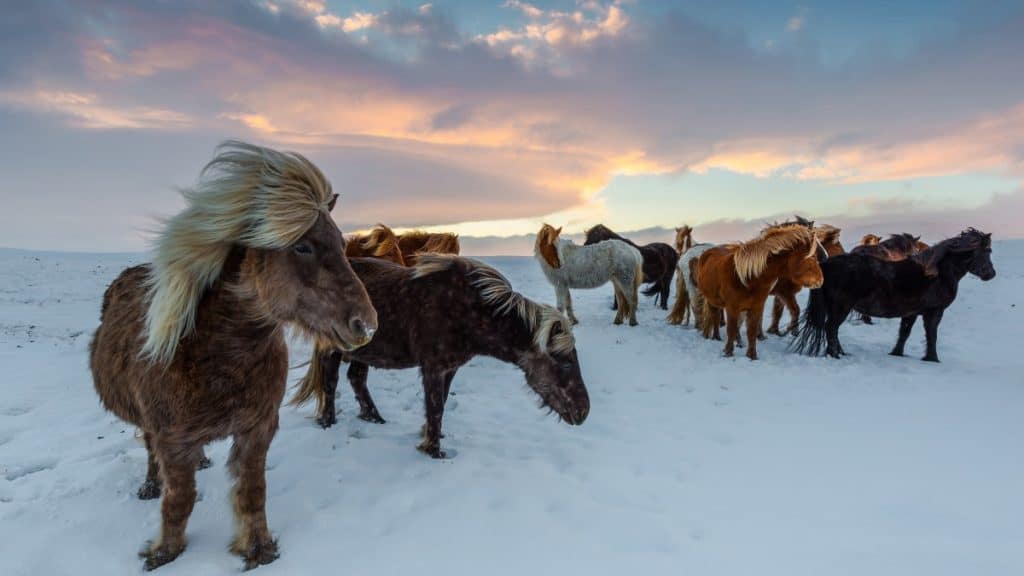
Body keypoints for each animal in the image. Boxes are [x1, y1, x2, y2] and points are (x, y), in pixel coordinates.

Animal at [90, 140, 378, 569]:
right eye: (303, 246)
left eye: (343, 245)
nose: (366, 325)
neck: (219, 356)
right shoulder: (172, 439)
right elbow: (179, 500)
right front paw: (164, 552)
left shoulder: (257, 429)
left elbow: (252, 492)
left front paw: (258, 550)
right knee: (150, 451)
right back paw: (150, 485)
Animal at [290, 255, 593, 457]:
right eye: (565, 362)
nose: (583, 412)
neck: (469, 309)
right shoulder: (433, 368)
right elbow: (435, 406)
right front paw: (433, 450)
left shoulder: (449, 369)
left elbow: (441, 403)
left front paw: (430, 436)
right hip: (333, 350)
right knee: (330, 383)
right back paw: (328, 422)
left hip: (363, 352)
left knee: (356, 379)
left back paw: (374, 418)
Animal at [696, 222, 823, 356]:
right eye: (812, 257)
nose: (820, 280)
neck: (746, 277)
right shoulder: (732, 307)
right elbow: (731, 330)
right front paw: (728, 353)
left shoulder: (756, 306)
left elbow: (751, 331)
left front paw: (752, 356)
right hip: (712, 300)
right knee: (715, 317)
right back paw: (716, 337)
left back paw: (738, 342)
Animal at [786, 227, 995, 358]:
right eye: (987, 251)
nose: (991, 274)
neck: (936, 273)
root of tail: (825, 264)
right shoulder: (934, 312)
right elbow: (932, 335)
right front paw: (932, 358)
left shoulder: (911, 313)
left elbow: (904, 333)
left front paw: (897, 353)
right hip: (841, 308)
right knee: (831, 328)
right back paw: (835, 355)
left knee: (832, 330)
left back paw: (841, 353)